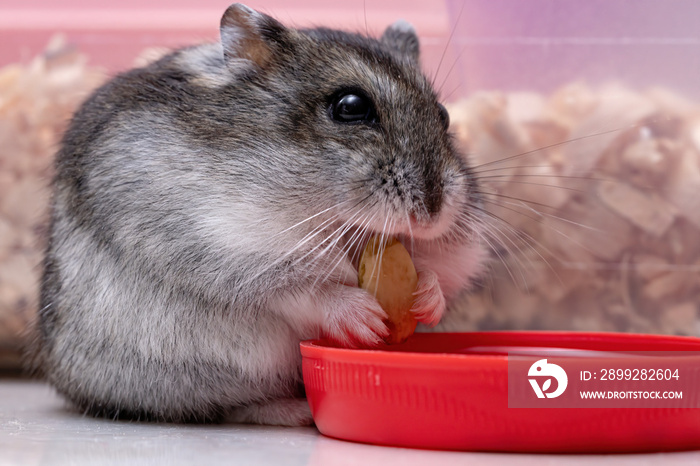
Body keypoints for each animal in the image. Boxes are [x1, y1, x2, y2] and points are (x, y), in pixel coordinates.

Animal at [28, 3, 486, 426]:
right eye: (350, 106)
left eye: (444, 115)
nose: (431, 213)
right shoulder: (229, 247)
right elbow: (300, 288)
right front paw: (366, 319)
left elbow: (442, 269)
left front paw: (428, 300)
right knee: (228, 406)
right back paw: (295, 411)